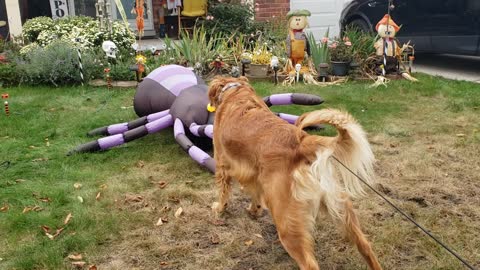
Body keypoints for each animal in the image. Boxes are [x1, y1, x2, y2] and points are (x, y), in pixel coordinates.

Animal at [208, 76, 380, 270]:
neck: (236, 92)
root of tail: (303, 142)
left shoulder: (222, 165)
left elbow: (224, 193)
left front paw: (219, 208)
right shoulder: (254, 175)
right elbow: (256, 196)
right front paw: (254, 211)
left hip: (287, 224)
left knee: (309, 264)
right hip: (342, 209)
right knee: (366, 246)